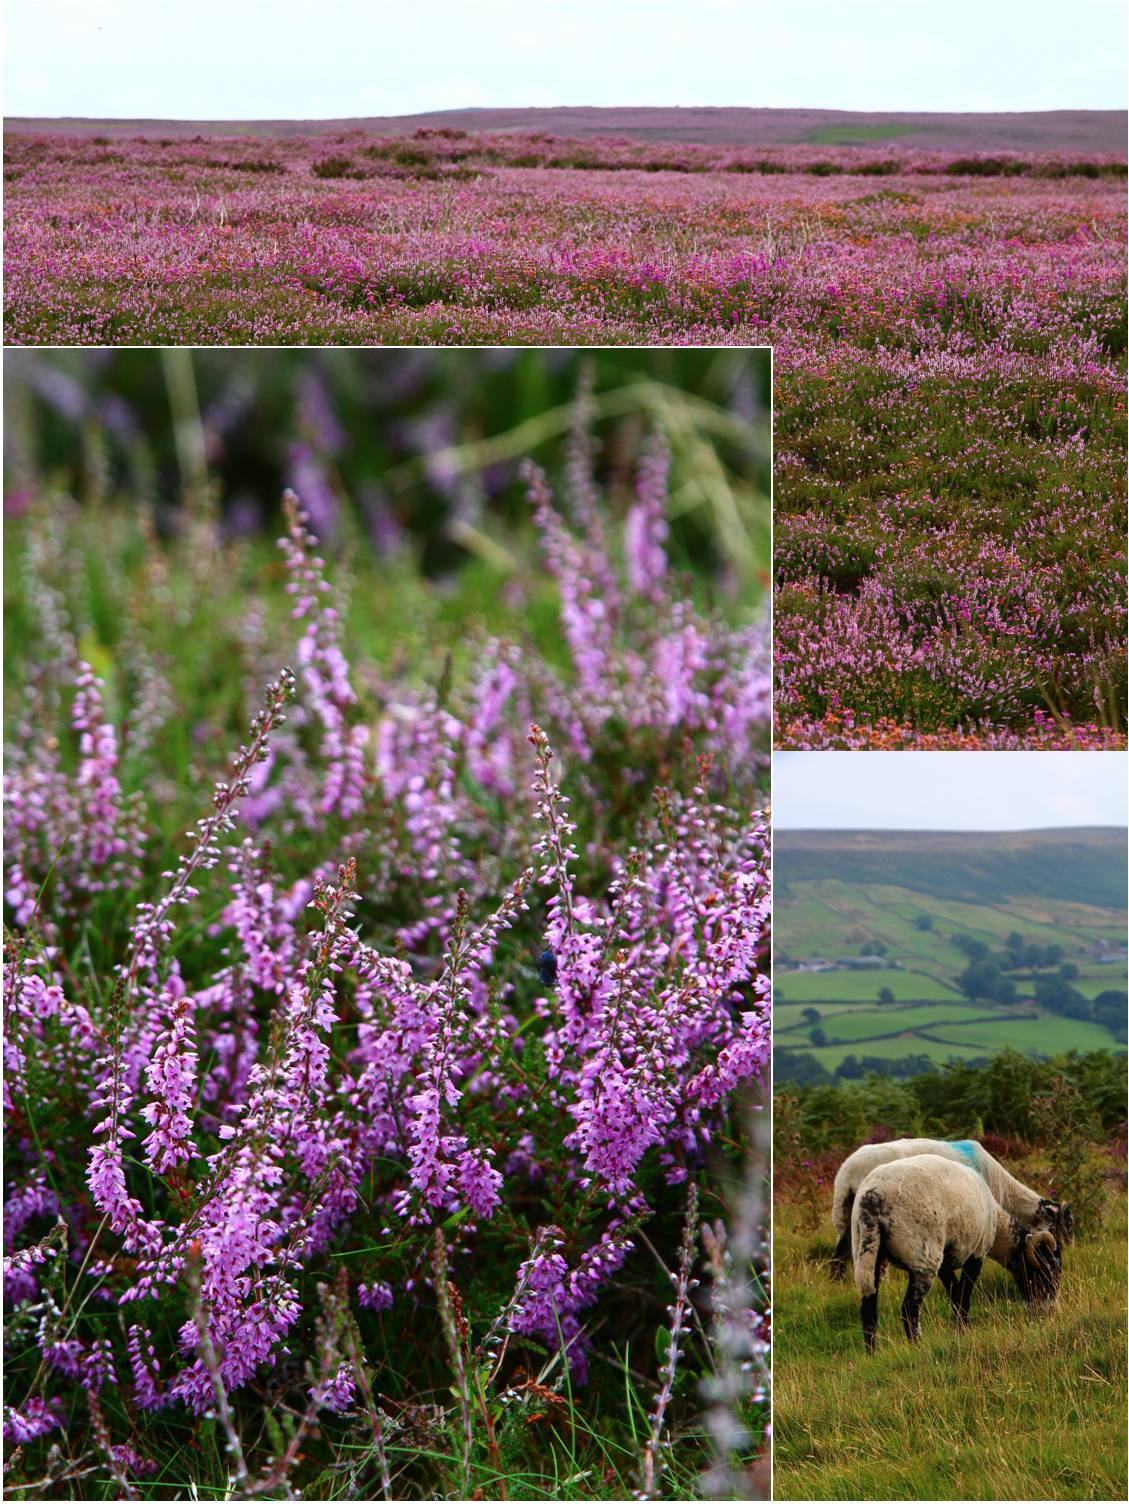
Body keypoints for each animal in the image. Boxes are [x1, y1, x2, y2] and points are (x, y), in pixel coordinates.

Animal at [823, 1137, 1070, 1281]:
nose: (1067, 1250)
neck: (1004, 1189)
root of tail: (845, 1173)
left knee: (841, 1252)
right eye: (1057, 1227)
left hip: (845, 1214)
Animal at [853, 1149, 1064, 1353]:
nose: (1049, 1311)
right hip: (924, 1257)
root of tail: (871, 1203)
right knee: (909, 1309)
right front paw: (962, 1331)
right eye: (1047, 1272)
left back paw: (872, 1354)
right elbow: (964, 1297)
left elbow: (955, 1296)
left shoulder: (945, 1264)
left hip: (867, 1254)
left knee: (868, 1310)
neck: (997, 1224)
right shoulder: (977, 1254)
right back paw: (917, 1347)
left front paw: (960, 1331)